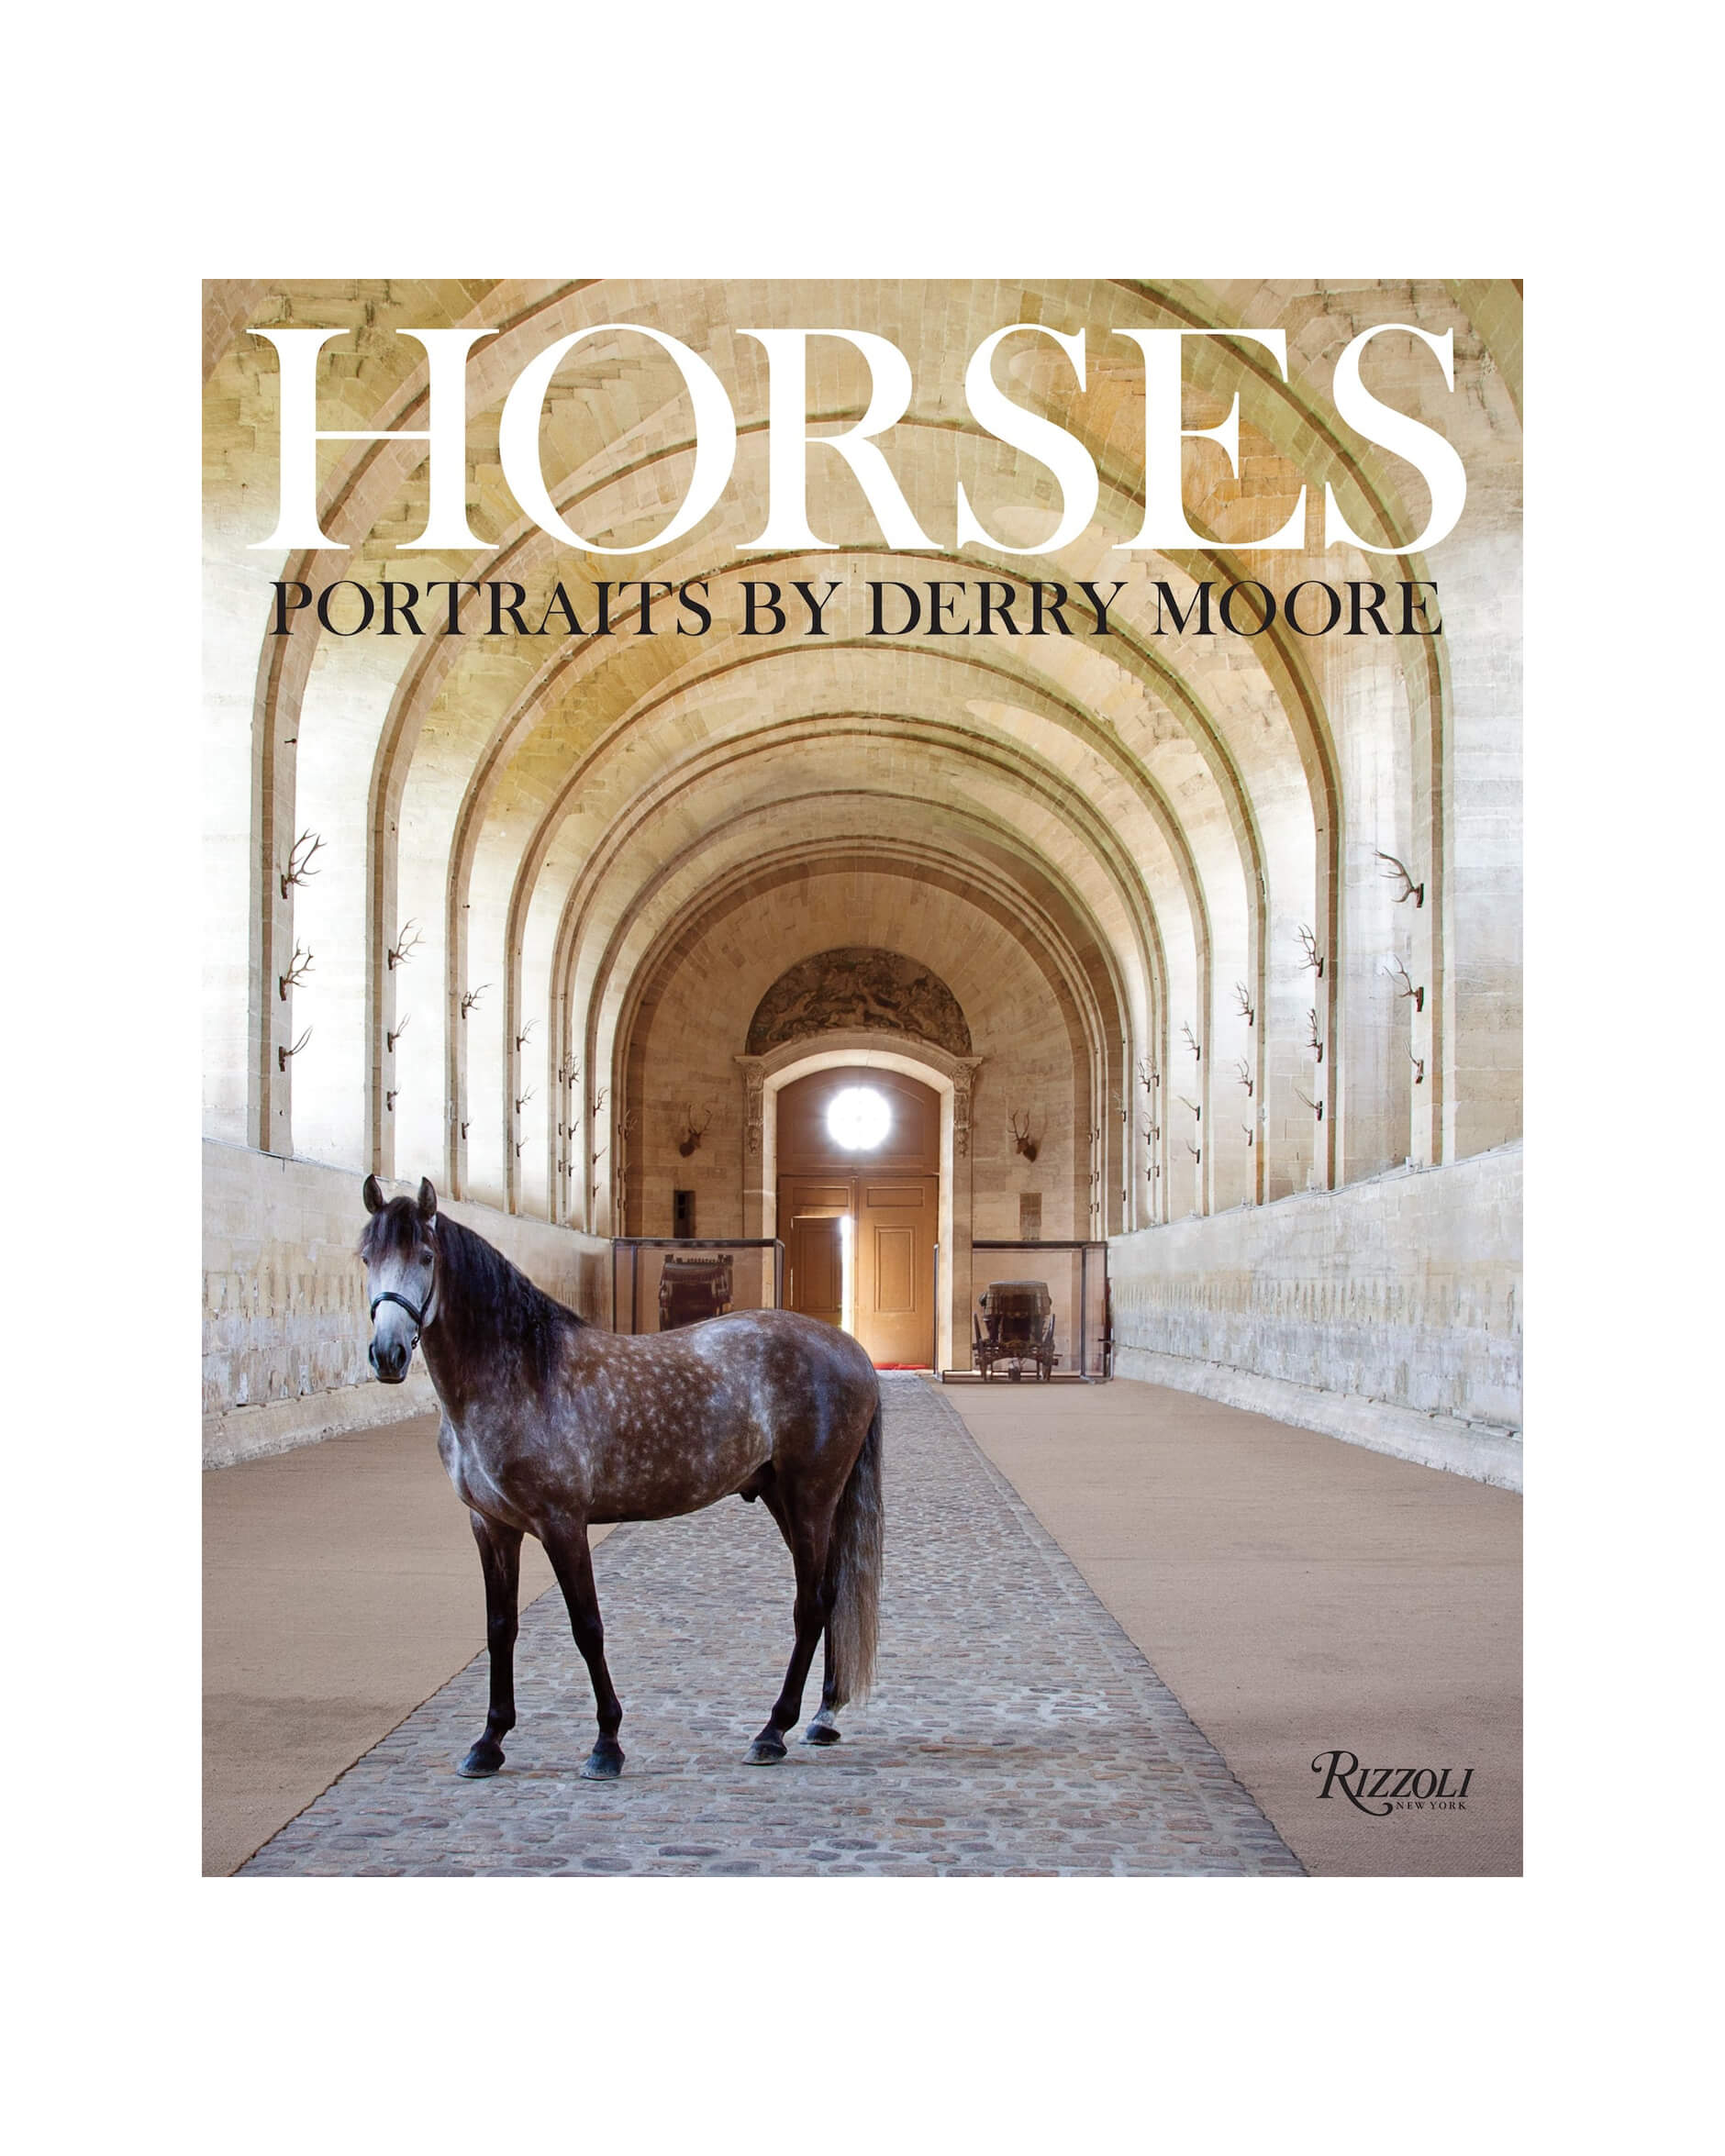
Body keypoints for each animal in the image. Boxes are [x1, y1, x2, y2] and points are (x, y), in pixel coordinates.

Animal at [358, 1175, 883, 1780]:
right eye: (367, 1257)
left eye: (425, 1256)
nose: (388, 1354)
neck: (523, 1372)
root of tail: (852, 1350)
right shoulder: (491, 1526)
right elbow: (500, 1628)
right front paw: (489, 1742)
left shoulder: (562, 1524)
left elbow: (587, 1627)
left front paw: (606, 1743)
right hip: (787, 1497)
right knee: (830, 1595)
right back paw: (824, 1716)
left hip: (810, 1498)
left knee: (811, 1605)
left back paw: (773, 1731)